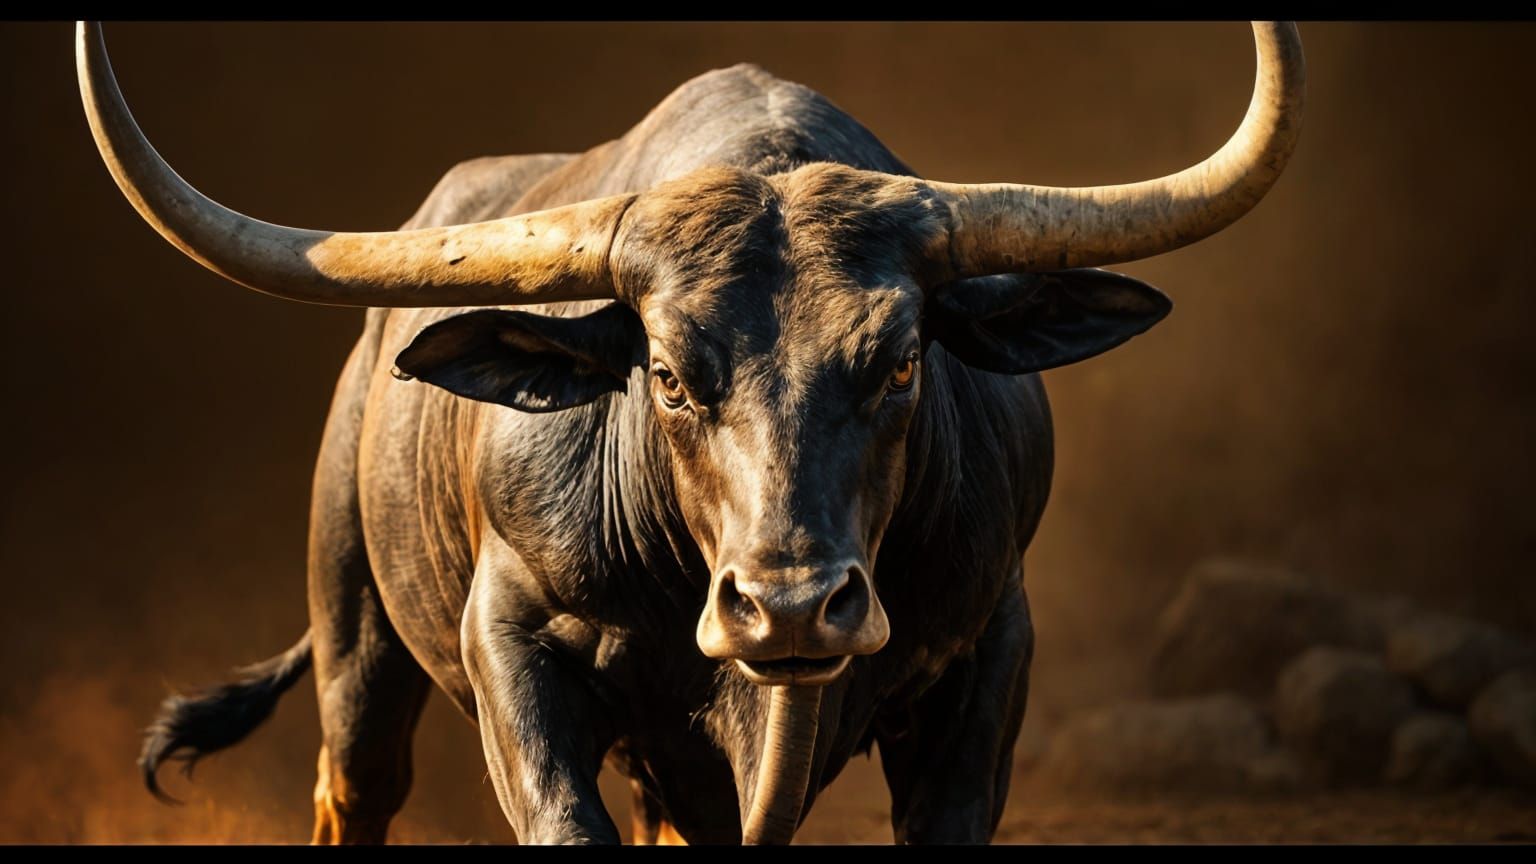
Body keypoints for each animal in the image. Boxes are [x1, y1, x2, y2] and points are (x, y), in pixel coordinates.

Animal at [76, 21, 1304, 844]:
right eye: (666, 375)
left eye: (903, 361)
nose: (793, 605)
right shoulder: (509, 640)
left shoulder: (988, 648)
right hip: (356, 640)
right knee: (355, 788)